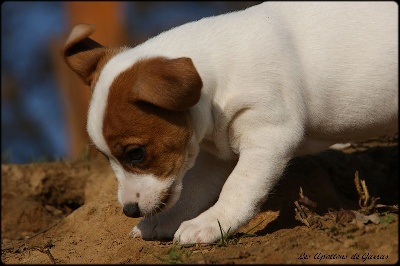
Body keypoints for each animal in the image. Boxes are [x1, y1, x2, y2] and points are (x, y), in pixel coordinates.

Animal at [62, 1, 396, 245]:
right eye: (107, 157)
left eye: (136, 153)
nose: (129, 211)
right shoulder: (215, 153)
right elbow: (192, 192)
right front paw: (166, 221)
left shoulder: (269, 135)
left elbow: (238, 187)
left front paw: (212, 222)